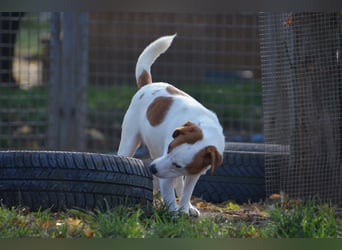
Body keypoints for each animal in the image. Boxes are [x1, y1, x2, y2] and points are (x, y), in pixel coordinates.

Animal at [117, 33, 224, 217]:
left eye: (178, 164)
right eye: (169, 148)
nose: (152, 169)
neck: (205, 127)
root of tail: (147, 85)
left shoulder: (192, 172)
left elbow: (186, 190)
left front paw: (184, 208)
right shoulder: (165, 169)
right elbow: (168, 193)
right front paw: (173, 213)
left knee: (179, 183)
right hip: (129, 142)